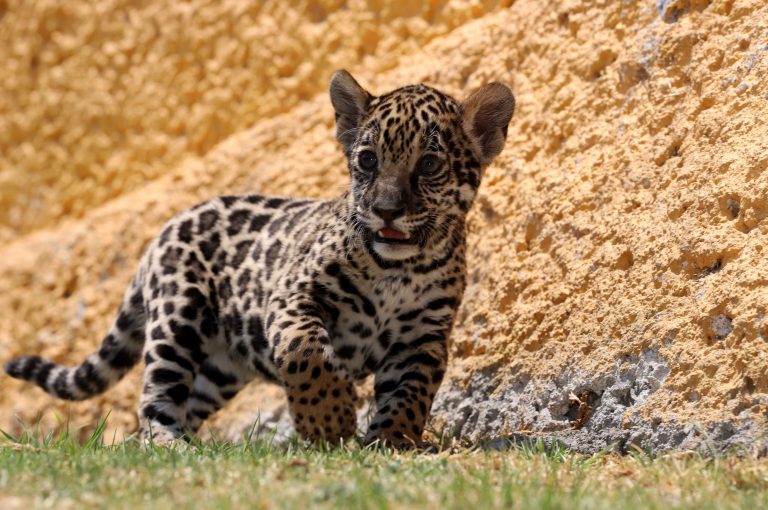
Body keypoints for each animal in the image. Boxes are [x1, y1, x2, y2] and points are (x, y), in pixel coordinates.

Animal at [5, 70, 515, 449]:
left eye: (429, 164)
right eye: (368, 160)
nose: (386, 210)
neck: (397, 268)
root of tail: (166, 228)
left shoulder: (423, 335)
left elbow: (409, 392)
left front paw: (391, 443)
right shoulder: (294, 294)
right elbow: (306, 351)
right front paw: (329, 423)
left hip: (221, 367)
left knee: (191, 398)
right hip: (178, 316)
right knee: (157, 393)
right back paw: (167, 445)